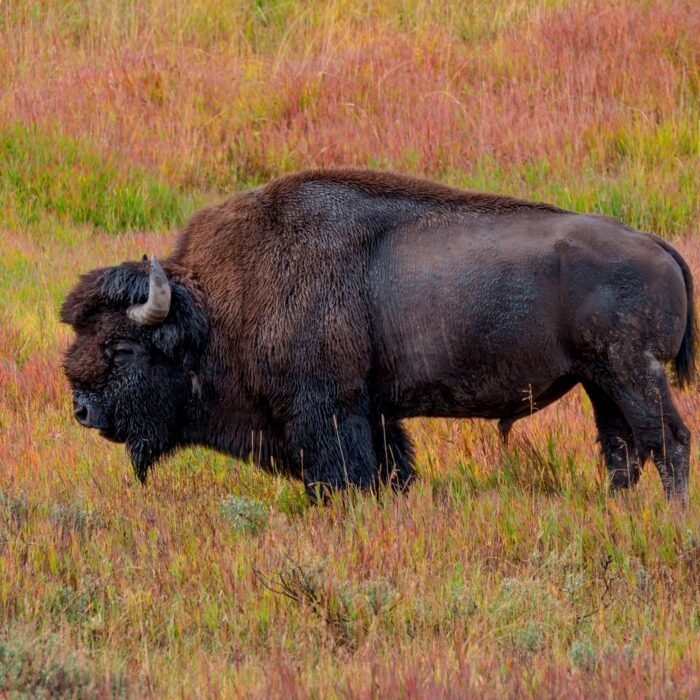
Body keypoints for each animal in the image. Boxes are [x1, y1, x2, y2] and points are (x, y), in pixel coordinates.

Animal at [61, 169, 694, 501]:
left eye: (121, 346)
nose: (82, 410)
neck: (216, 308)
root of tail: (652, 243)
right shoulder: (375, 412)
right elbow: (394, 467)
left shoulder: (327, 411)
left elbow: (343, 475)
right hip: (599, 380)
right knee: (621, 446)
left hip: (632, 373)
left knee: (667, 440)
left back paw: (668, 514)